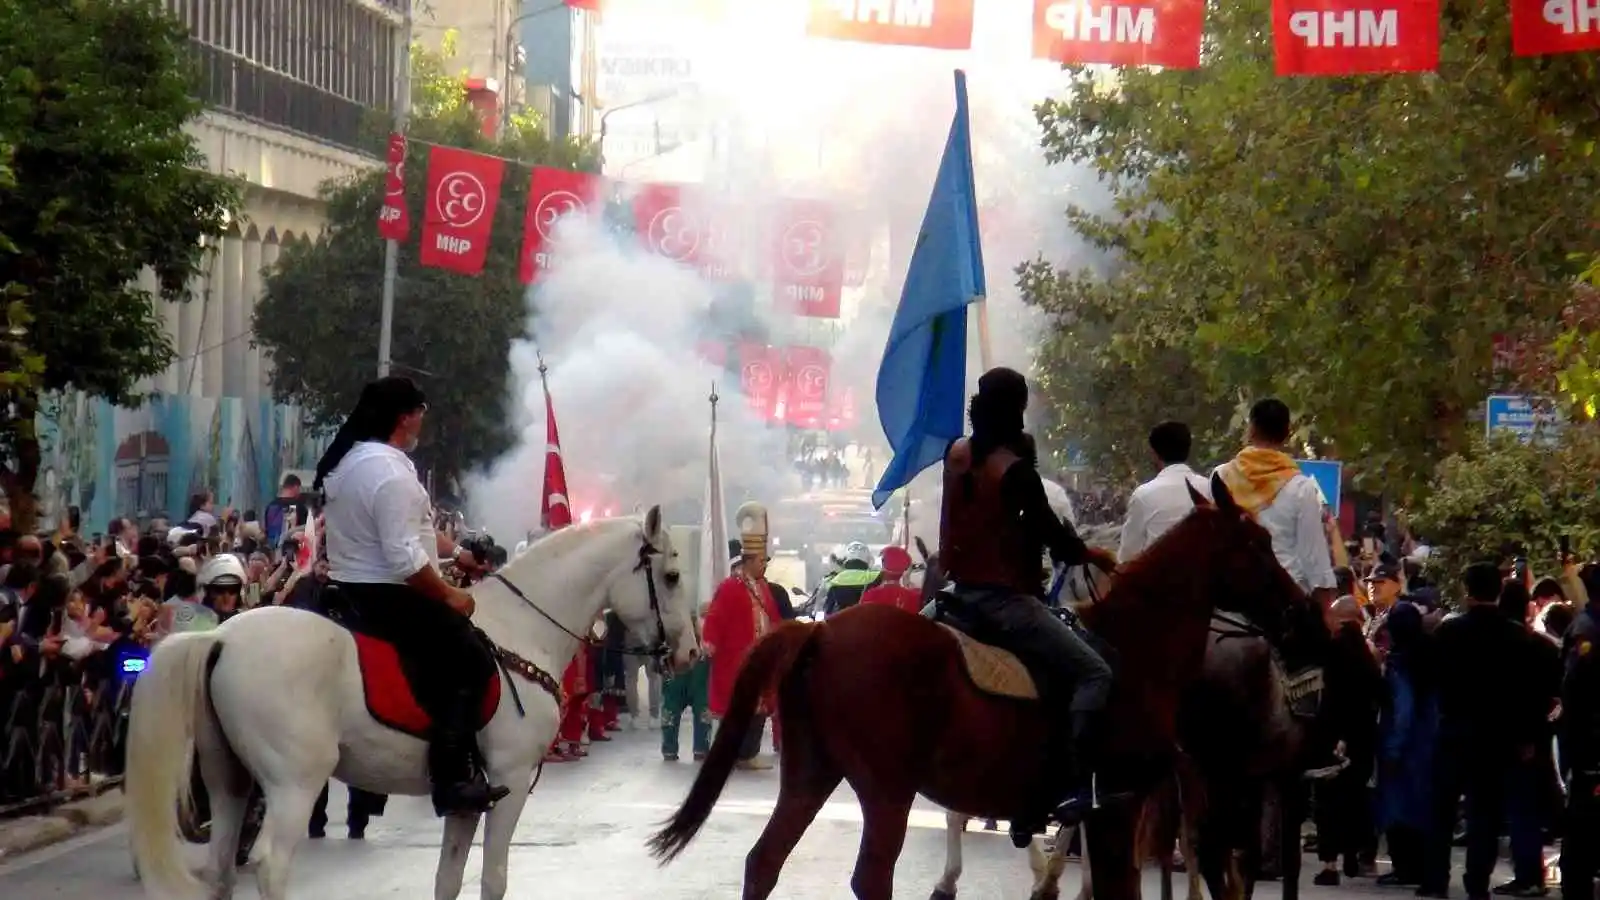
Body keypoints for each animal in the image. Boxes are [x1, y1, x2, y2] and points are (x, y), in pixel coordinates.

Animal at [124, 506, 700, 896]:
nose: (692, 652)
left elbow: (448, 877)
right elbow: (493, 878)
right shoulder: (510, 782)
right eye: (672, 575)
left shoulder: (468, 794)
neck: (521, 630)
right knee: (269, 863)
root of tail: (220, 638)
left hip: (229, 782)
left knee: (221, 867)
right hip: (294, 783)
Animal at [643, 480, 1305, 896]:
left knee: (765, 863)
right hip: (887, 790)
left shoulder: (1110, 812)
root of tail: (821, 631)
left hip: (812, 772)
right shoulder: (1116, 806)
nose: (1298, 612)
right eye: (1258, 545)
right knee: (870, 878)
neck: (1135, 647)